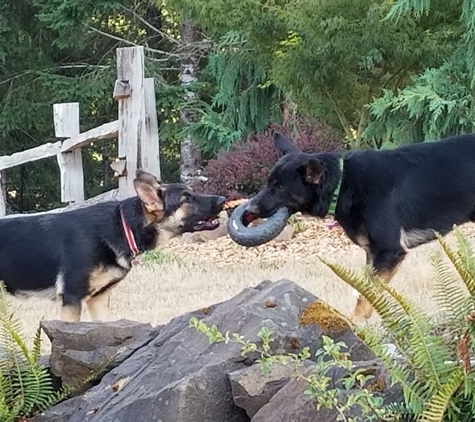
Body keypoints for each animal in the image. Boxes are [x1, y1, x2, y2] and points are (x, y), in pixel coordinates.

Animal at [0, 170, 226, 322]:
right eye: (186, 198)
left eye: (192, 193)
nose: (223, 199)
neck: (123, 226)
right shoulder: (71, 300)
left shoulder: (98, 300)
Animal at [245, 132, 475, 324]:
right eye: (268, 183)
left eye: (279, 187)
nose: (249, 209)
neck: (343, 182)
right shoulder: (372, 254)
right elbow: (364, 290)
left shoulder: (388, 252)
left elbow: (367, 295)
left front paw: (355, 325)